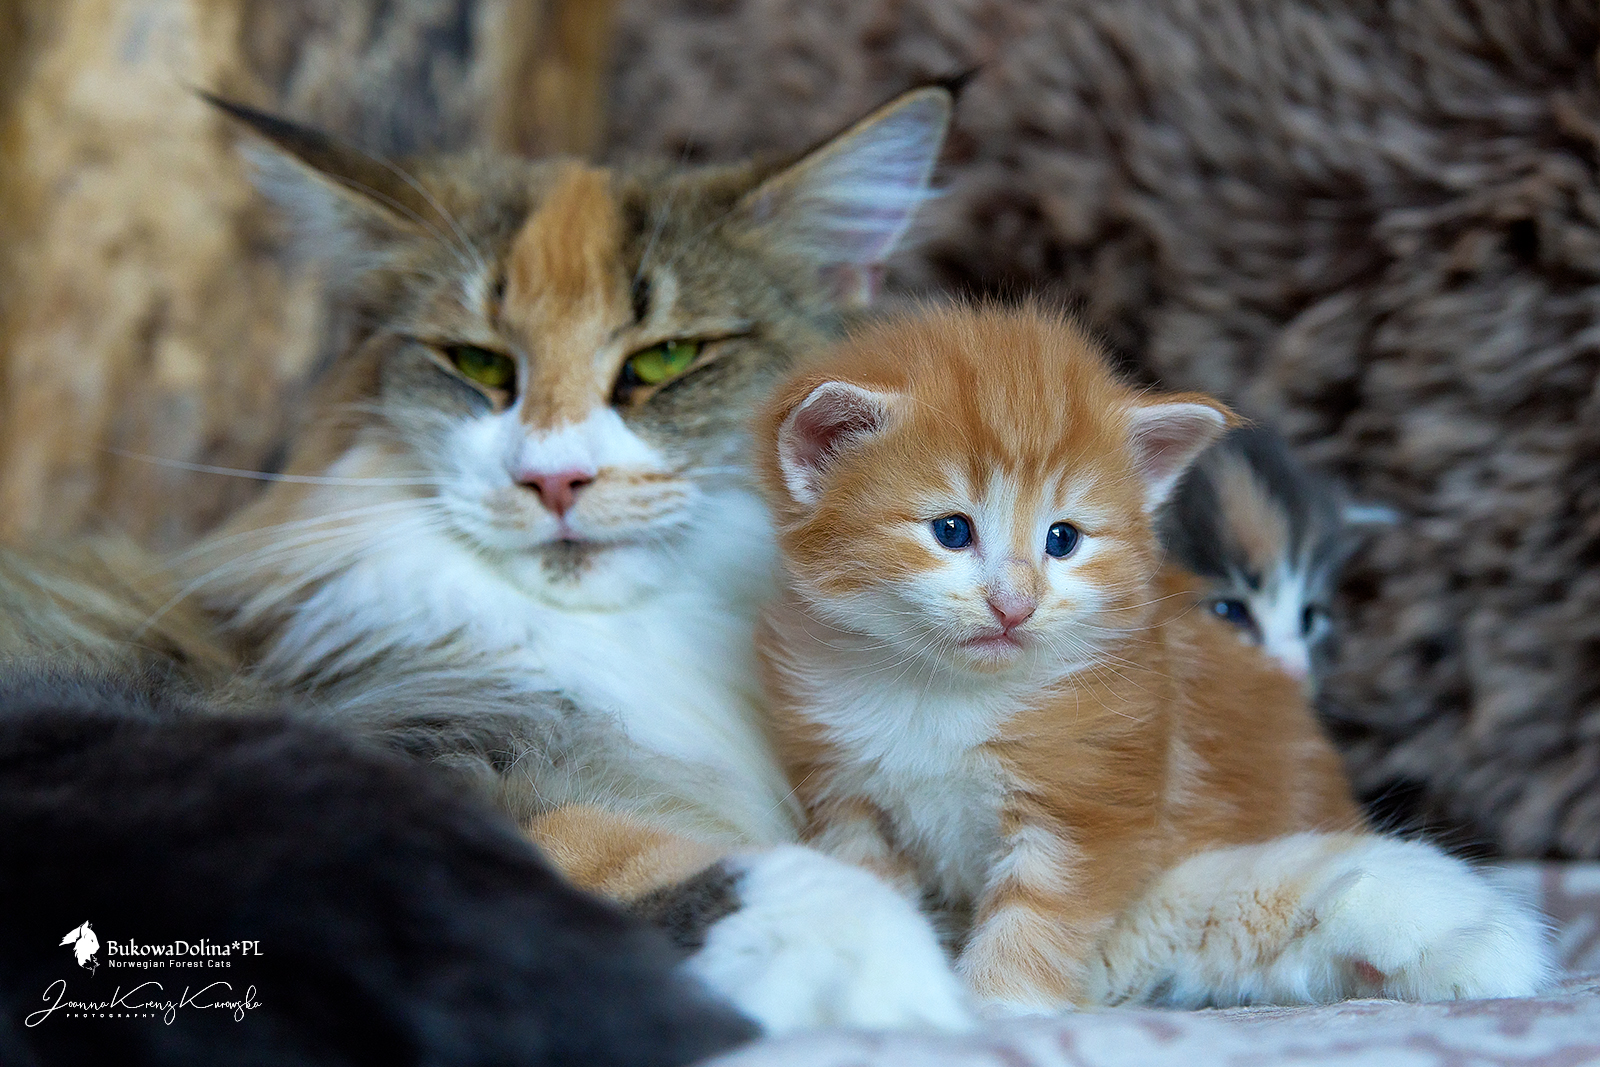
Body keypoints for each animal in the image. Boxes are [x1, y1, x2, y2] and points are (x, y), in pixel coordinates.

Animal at [170, 88, 971, 1032]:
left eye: (666, 357)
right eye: (479, 363)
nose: (552, 479)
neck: (640, 638)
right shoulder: (399, 742)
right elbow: (602, 843)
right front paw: (879, 967)